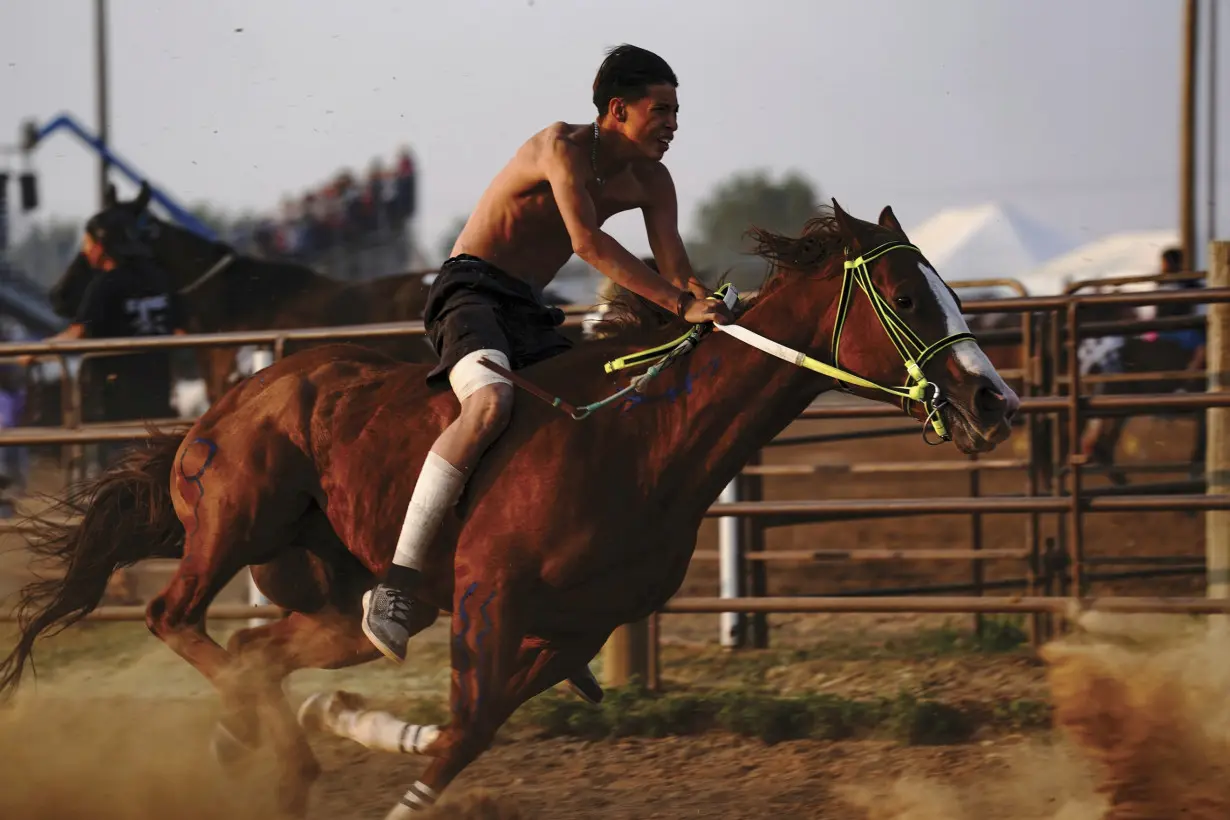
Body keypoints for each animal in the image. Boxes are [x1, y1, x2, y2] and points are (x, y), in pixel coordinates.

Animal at [0, 201, 1018, 816]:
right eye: (903, 294)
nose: (995, 401)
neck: (640, 438)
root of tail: (226, 403)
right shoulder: (489, 600)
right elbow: (461, 733)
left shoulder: (569, 629)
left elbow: (468, 731)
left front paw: (349, 720)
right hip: (232, 524)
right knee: (174, 616)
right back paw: (269, 744)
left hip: (343, 598)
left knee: (257, 649)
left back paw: (269, 743)